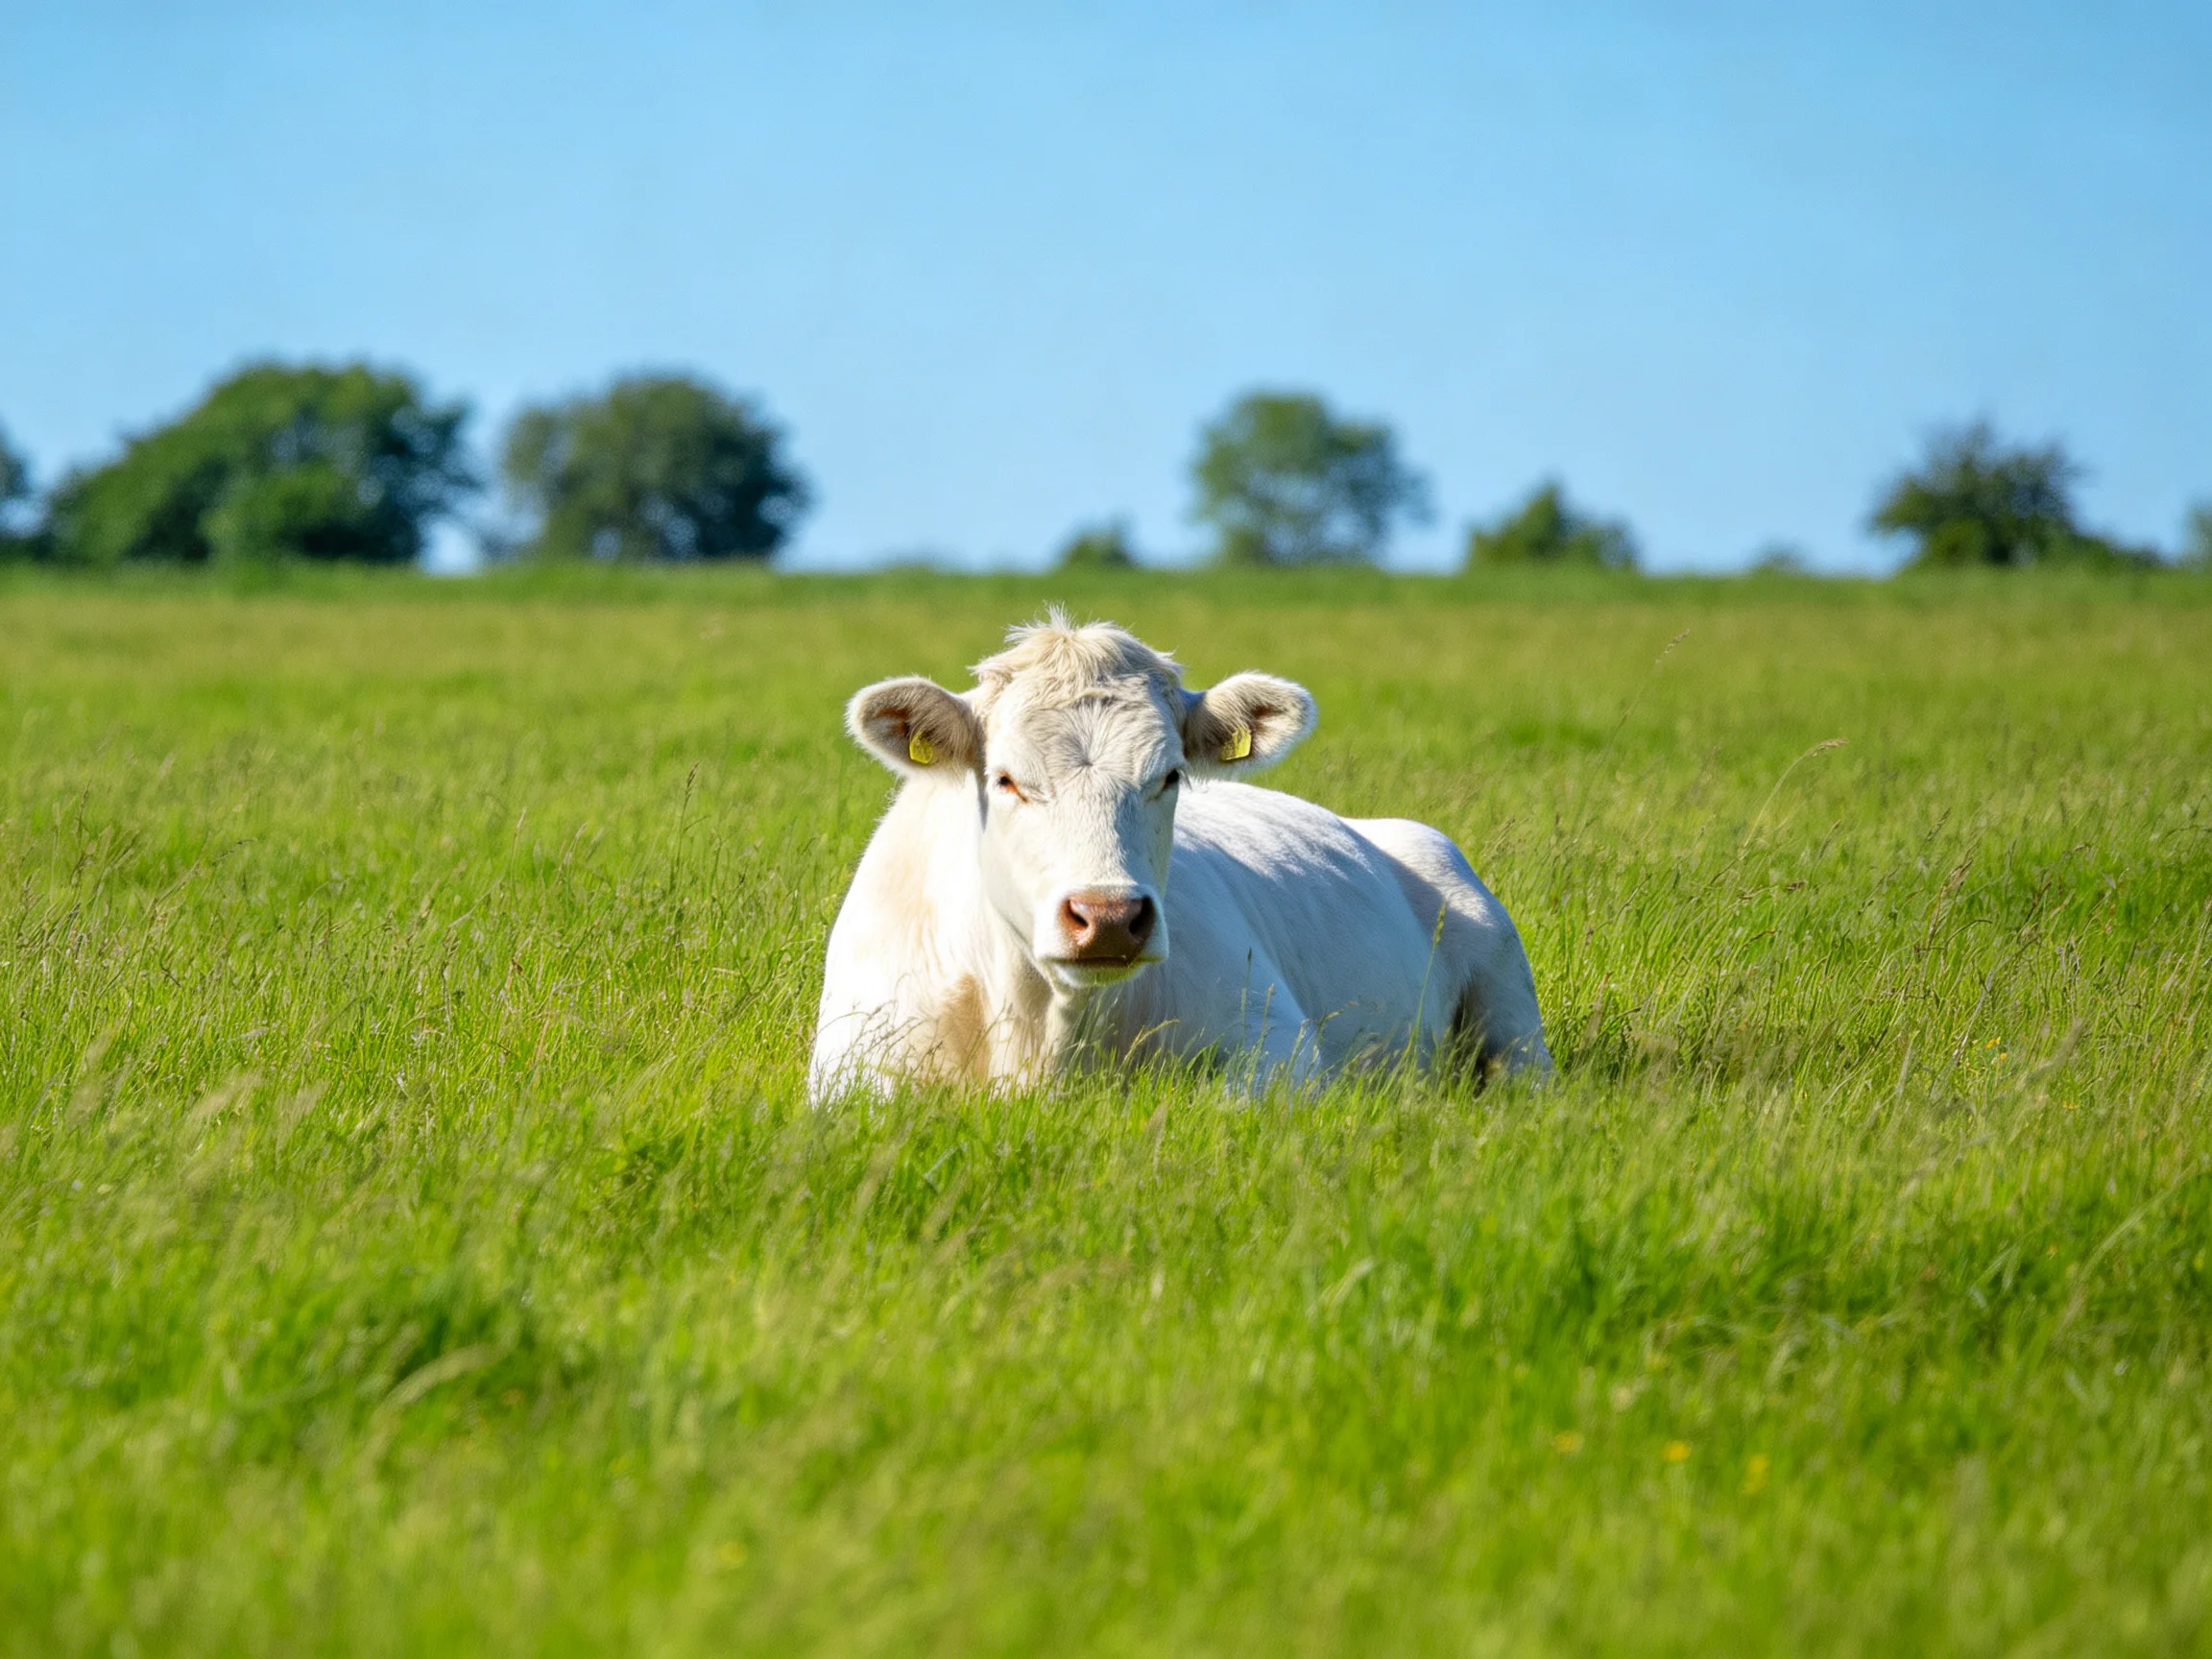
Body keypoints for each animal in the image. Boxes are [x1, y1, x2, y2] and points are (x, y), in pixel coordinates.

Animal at [808, 614, 1550, 1099]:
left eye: (1168, 775)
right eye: (1006, 779)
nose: (1108, 916)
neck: (1044, 1030)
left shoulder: (1281, 1044)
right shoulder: (850, 1070)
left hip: (1511, 1006)